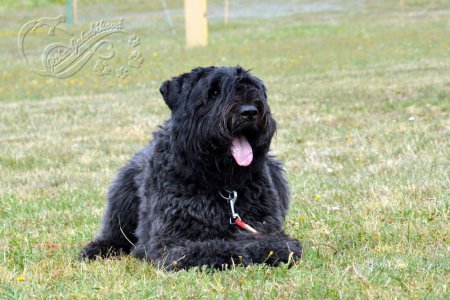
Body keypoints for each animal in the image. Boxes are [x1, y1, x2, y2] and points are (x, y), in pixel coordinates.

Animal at [81, 65, 302, 270]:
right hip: (122, 194)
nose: (249, 111)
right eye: (213, 92)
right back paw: (95, 249)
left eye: (253, 87)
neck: (221, 185)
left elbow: (270, 242)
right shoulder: (172, 244)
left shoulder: (266, 227)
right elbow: (218, 247)